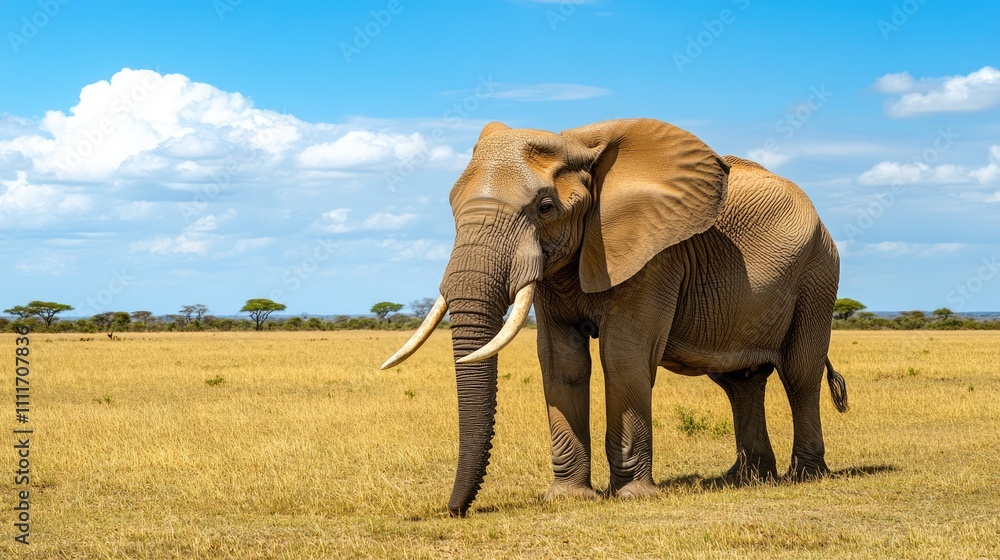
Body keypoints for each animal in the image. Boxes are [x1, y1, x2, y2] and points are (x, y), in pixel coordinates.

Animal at [382, 118, 848, 517]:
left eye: (545, 208)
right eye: (451, 205)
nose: (454, 511)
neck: (578, 144)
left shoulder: (654, 254)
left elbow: (623, 356)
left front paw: (631, 496)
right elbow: (561, 361)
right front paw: (569, 499)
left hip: (818, 270)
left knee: (799, 371)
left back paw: (805, 475)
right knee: (740, 381)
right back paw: (746, 478)